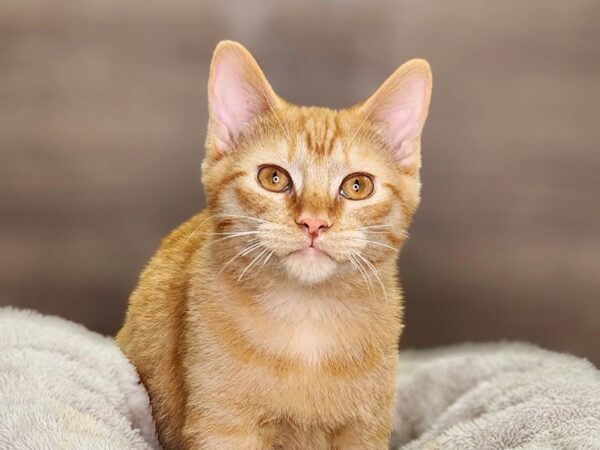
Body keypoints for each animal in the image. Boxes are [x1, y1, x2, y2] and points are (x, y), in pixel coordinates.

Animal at [117, 39, 434, 450]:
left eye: (357, 186)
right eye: (273, 178)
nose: (314, 222)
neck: (307, 321)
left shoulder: (366, 429)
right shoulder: (222, 426)